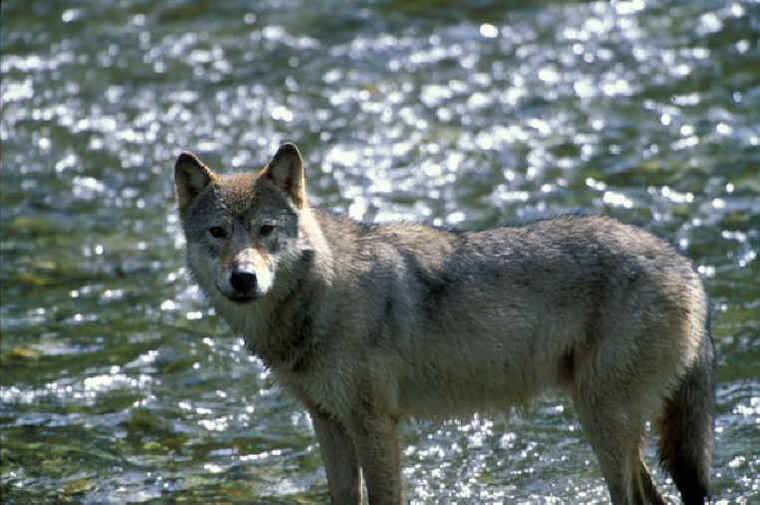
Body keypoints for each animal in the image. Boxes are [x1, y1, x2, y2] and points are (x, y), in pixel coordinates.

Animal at [174, 143, 715, 505]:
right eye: (217, 232)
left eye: (266, 231)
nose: (243, 278)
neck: (320, 295)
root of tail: (689, 269)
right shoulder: (327, 422)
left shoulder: (374, 424)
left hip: (601, 421)